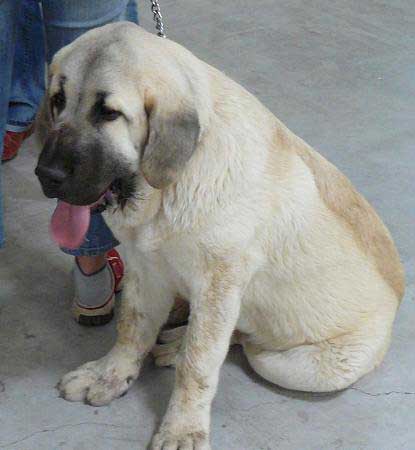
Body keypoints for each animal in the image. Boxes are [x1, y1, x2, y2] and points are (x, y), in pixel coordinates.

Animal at [35, 22, 406, 450]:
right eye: (58, 100)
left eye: (109, 113)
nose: (46, 175)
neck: (169, 184)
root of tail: (398, 298)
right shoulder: (146, 269)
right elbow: (132, 326)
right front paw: (111, 374)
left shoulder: (218, 287)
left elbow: (200, 363)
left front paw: (182, 428)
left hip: (289, 365)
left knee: (242, 341)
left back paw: (180, 347)